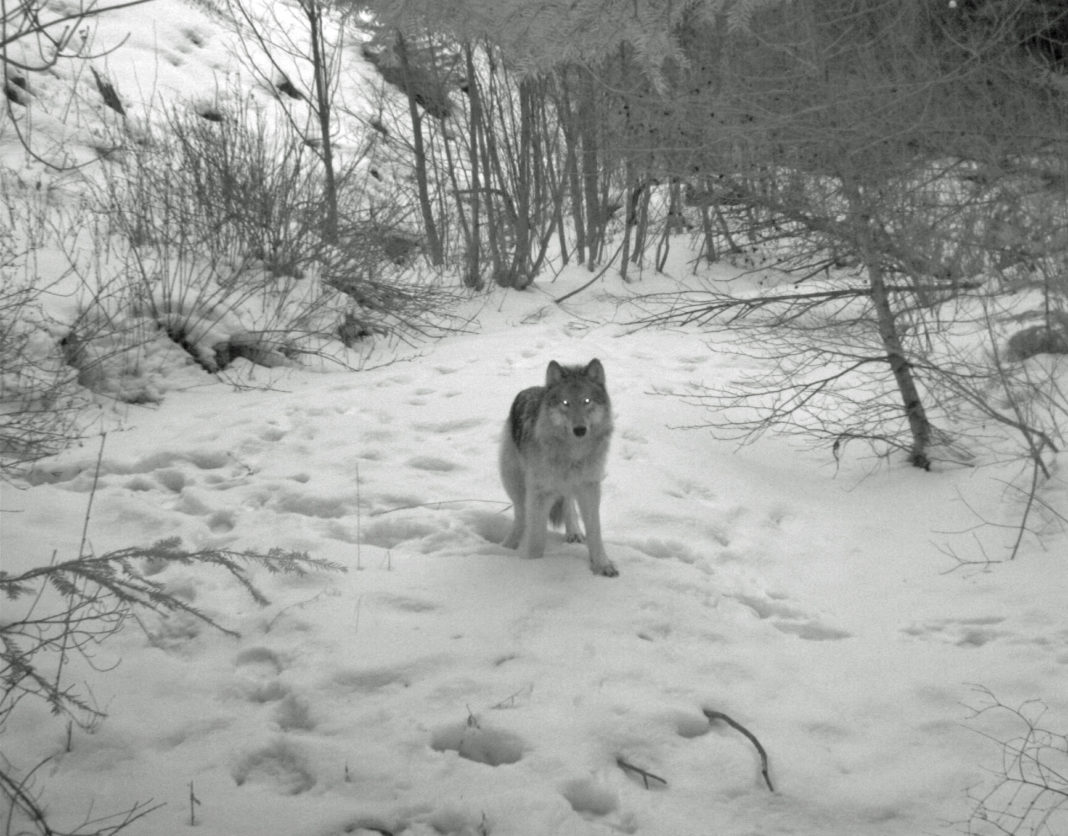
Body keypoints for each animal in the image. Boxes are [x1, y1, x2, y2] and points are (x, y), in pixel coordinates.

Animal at [499, 356, 619, 580]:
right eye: (565, 403)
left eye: (587, 401)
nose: (580, 430)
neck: (572, 455)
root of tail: (532, 388)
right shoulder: (540, 494)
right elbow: (536, 539)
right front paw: (530, 567)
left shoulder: (589, 487)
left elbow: (595, 532)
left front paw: (602, 565)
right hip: (515, 485)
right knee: (521, 516)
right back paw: (508, 545)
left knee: (568, 503)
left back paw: (574, 532)